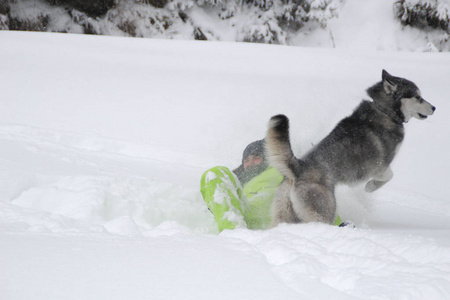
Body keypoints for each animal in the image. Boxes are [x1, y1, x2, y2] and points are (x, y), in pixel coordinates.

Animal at [266, 70, 434, 225]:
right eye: (418, 97)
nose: (434, 107)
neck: (384, 110)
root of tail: (298, 168)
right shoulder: (379, 166)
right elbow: (389, 176)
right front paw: (370, 187)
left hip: (284, 212)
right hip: (323, 211)